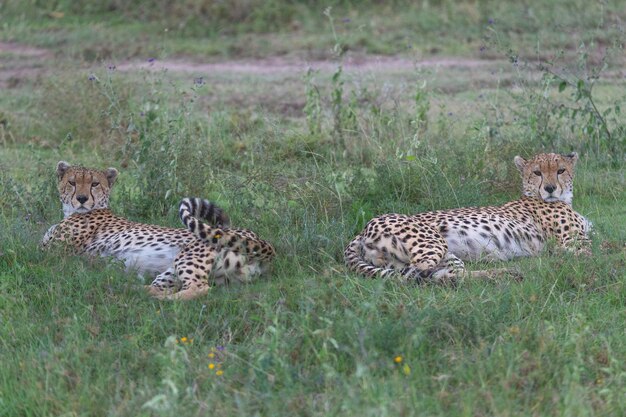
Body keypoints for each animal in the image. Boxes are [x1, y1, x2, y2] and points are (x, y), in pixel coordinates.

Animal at [42, 160, 274, 300]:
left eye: (95, 184)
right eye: (72, 182)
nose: (81, 198)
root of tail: (259, 239)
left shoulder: (53, 252)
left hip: (191, 254)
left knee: (199, 288)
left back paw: (165, 300)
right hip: (178, 269)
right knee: (164, 286)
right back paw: (130, 289)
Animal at [344, 153, 588, 282]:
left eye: (561, 170)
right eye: (537, 172)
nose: (549, 188)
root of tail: (362, 230)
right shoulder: (576, 243)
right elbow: (589, 254)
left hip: (443, 254)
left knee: (451, 274)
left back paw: (506, 273)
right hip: (433, 242)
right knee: (421, 271)